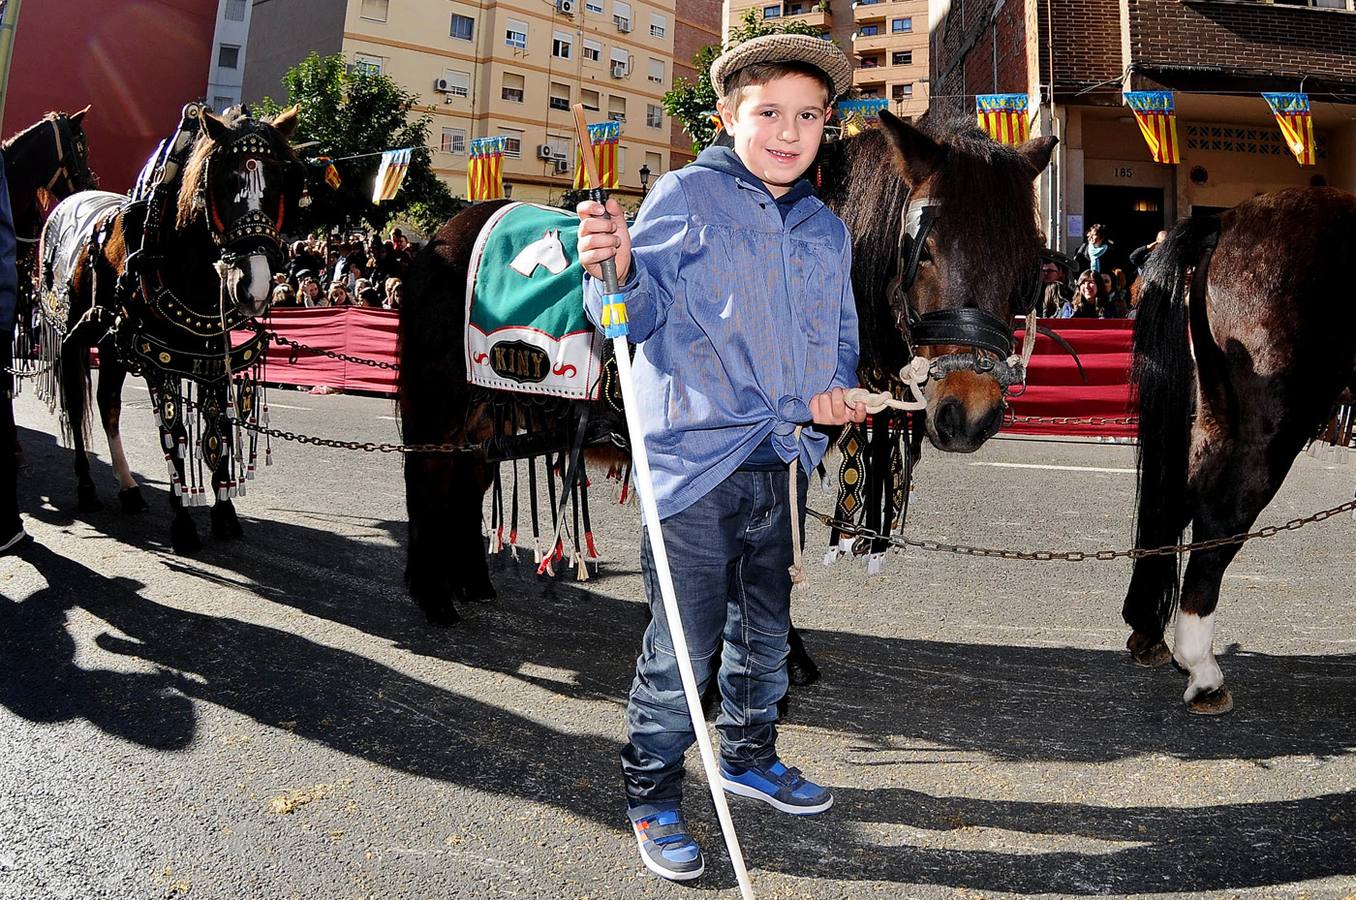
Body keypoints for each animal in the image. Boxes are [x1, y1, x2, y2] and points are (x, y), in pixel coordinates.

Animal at [37, 104, 302, 553]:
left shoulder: (211, 356)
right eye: (223, 181)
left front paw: (225, 513)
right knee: (76, 403)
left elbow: (220, 429)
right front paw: (183, 523)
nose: (255, 286)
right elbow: (173, 434)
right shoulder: (157, 358)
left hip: (114, 347)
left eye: (278, 184)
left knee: (108, 404)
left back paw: (128, 488)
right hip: (76, 338)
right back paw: (87, 487)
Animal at [395, 109, 1052, 628]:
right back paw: (432, 596)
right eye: (927, 250)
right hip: (440, 407)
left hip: (485, 418)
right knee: (428, 480)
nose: (970, 413)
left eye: (1024, 262)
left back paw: (469, 582)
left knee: (465, 482)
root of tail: (439, 238)